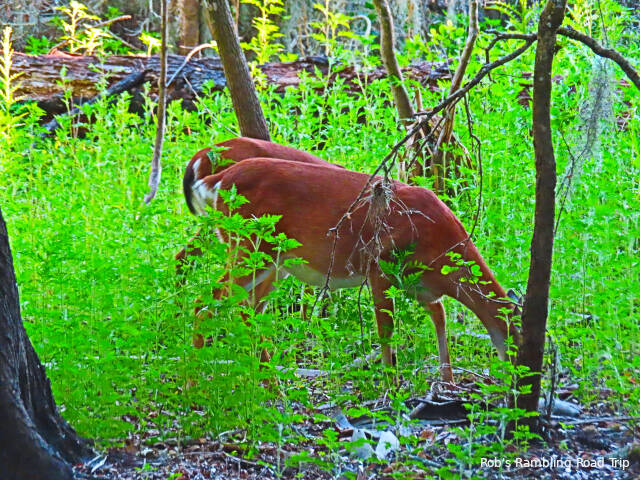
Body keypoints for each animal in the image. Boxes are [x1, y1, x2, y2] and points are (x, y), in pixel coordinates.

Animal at [182, 157, 520, 382]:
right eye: (520, 338)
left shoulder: (421, 287)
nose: (524, 380)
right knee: (205, 302)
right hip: (250, 245)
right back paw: (192, 383)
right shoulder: (380, 265)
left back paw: (269, 383)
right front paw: (391, 388)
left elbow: (440, 317)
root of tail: (216, 181)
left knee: (248, 308)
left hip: (275, 260)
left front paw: (446, 381)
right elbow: (386, 329)